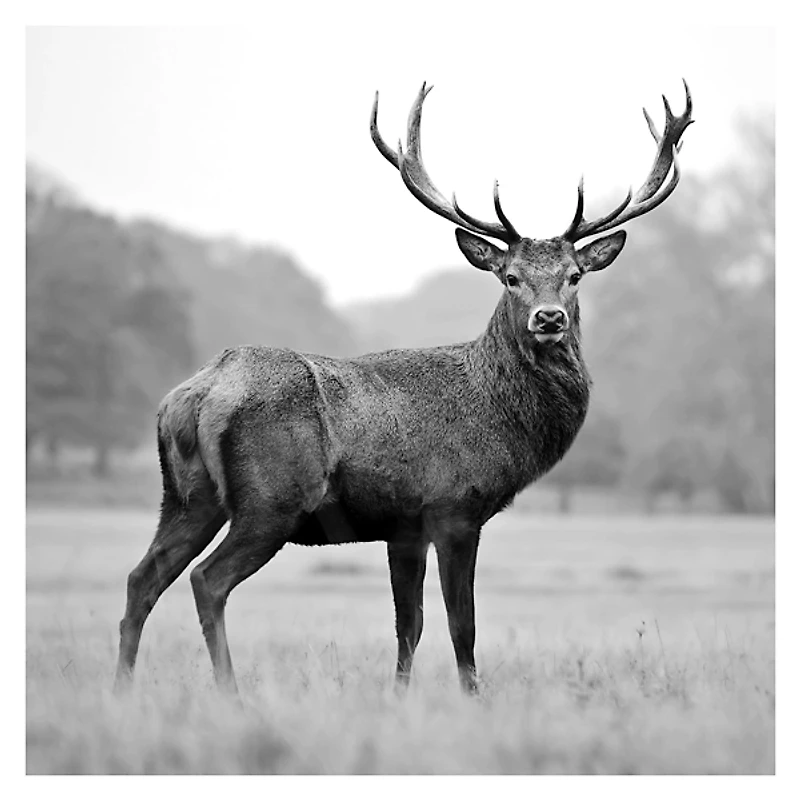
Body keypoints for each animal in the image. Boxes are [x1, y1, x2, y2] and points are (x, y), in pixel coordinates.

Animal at [114, 81, 693, 696]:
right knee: (207, 580)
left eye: (575, 276)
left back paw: (121, 689)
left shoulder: (403, 526)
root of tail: (197, 394)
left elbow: (408, 626)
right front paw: (472, 699)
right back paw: (231, 694)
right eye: (510, 277)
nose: (549, 318)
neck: (499, 418)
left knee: (141, 578)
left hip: (186, 496)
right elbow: (462, 625)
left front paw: (398, 698)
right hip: (270, 500)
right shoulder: (454, 507)